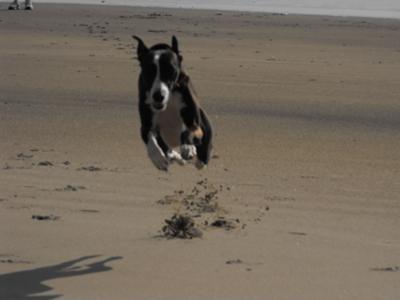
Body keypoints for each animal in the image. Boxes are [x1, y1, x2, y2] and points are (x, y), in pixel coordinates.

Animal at [133, 35, 212, 171]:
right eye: (148, 71)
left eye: (171, 70)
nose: (158, 96)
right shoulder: (146, 125)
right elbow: (150, 138)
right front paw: (157, 158)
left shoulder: (193, 120)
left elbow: (189, 129)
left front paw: (188, 147)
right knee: (168, 149)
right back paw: (174, 157)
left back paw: (199, 159)